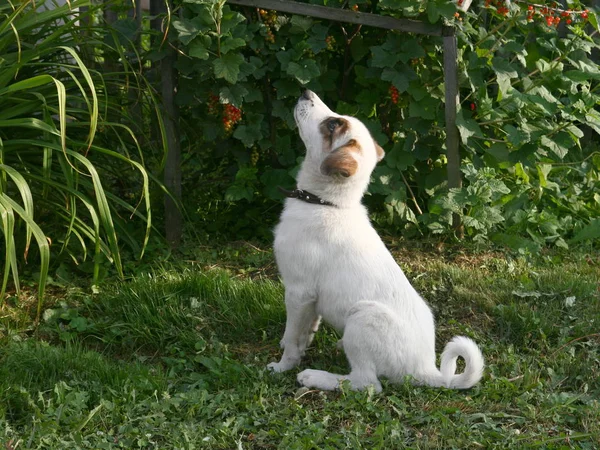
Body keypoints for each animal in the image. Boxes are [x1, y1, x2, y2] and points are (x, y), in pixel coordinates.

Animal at [270, 89, 486, 392]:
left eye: (332, 124)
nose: (306, 92)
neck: (328, 204)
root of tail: (424, 370)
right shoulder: (310, 300)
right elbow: (305, 330)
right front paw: (300, 346)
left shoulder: (298, 291)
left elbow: (292, 337)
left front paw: (283, 366)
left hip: (362, 317)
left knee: (367, 384)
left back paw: (316, 376)